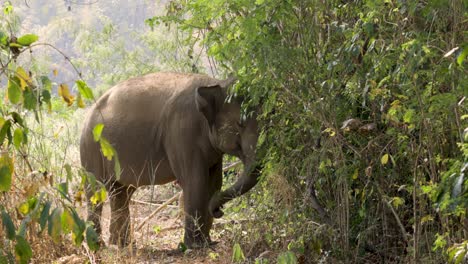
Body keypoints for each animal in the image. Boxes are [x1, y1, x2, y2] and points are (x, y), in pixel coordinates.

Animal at [81, 71, 264, 248]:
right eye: (240, 123)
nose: (219, 210)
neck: (217, 82)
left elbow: (214, 183)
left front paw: (208, 242)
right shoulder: (182, 133)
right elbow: (195, 181)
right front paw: (195, 246)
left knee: (120, 193)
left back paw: (122, 245)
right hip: (91, 148)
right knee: (95, 191)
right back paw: (98, 245)